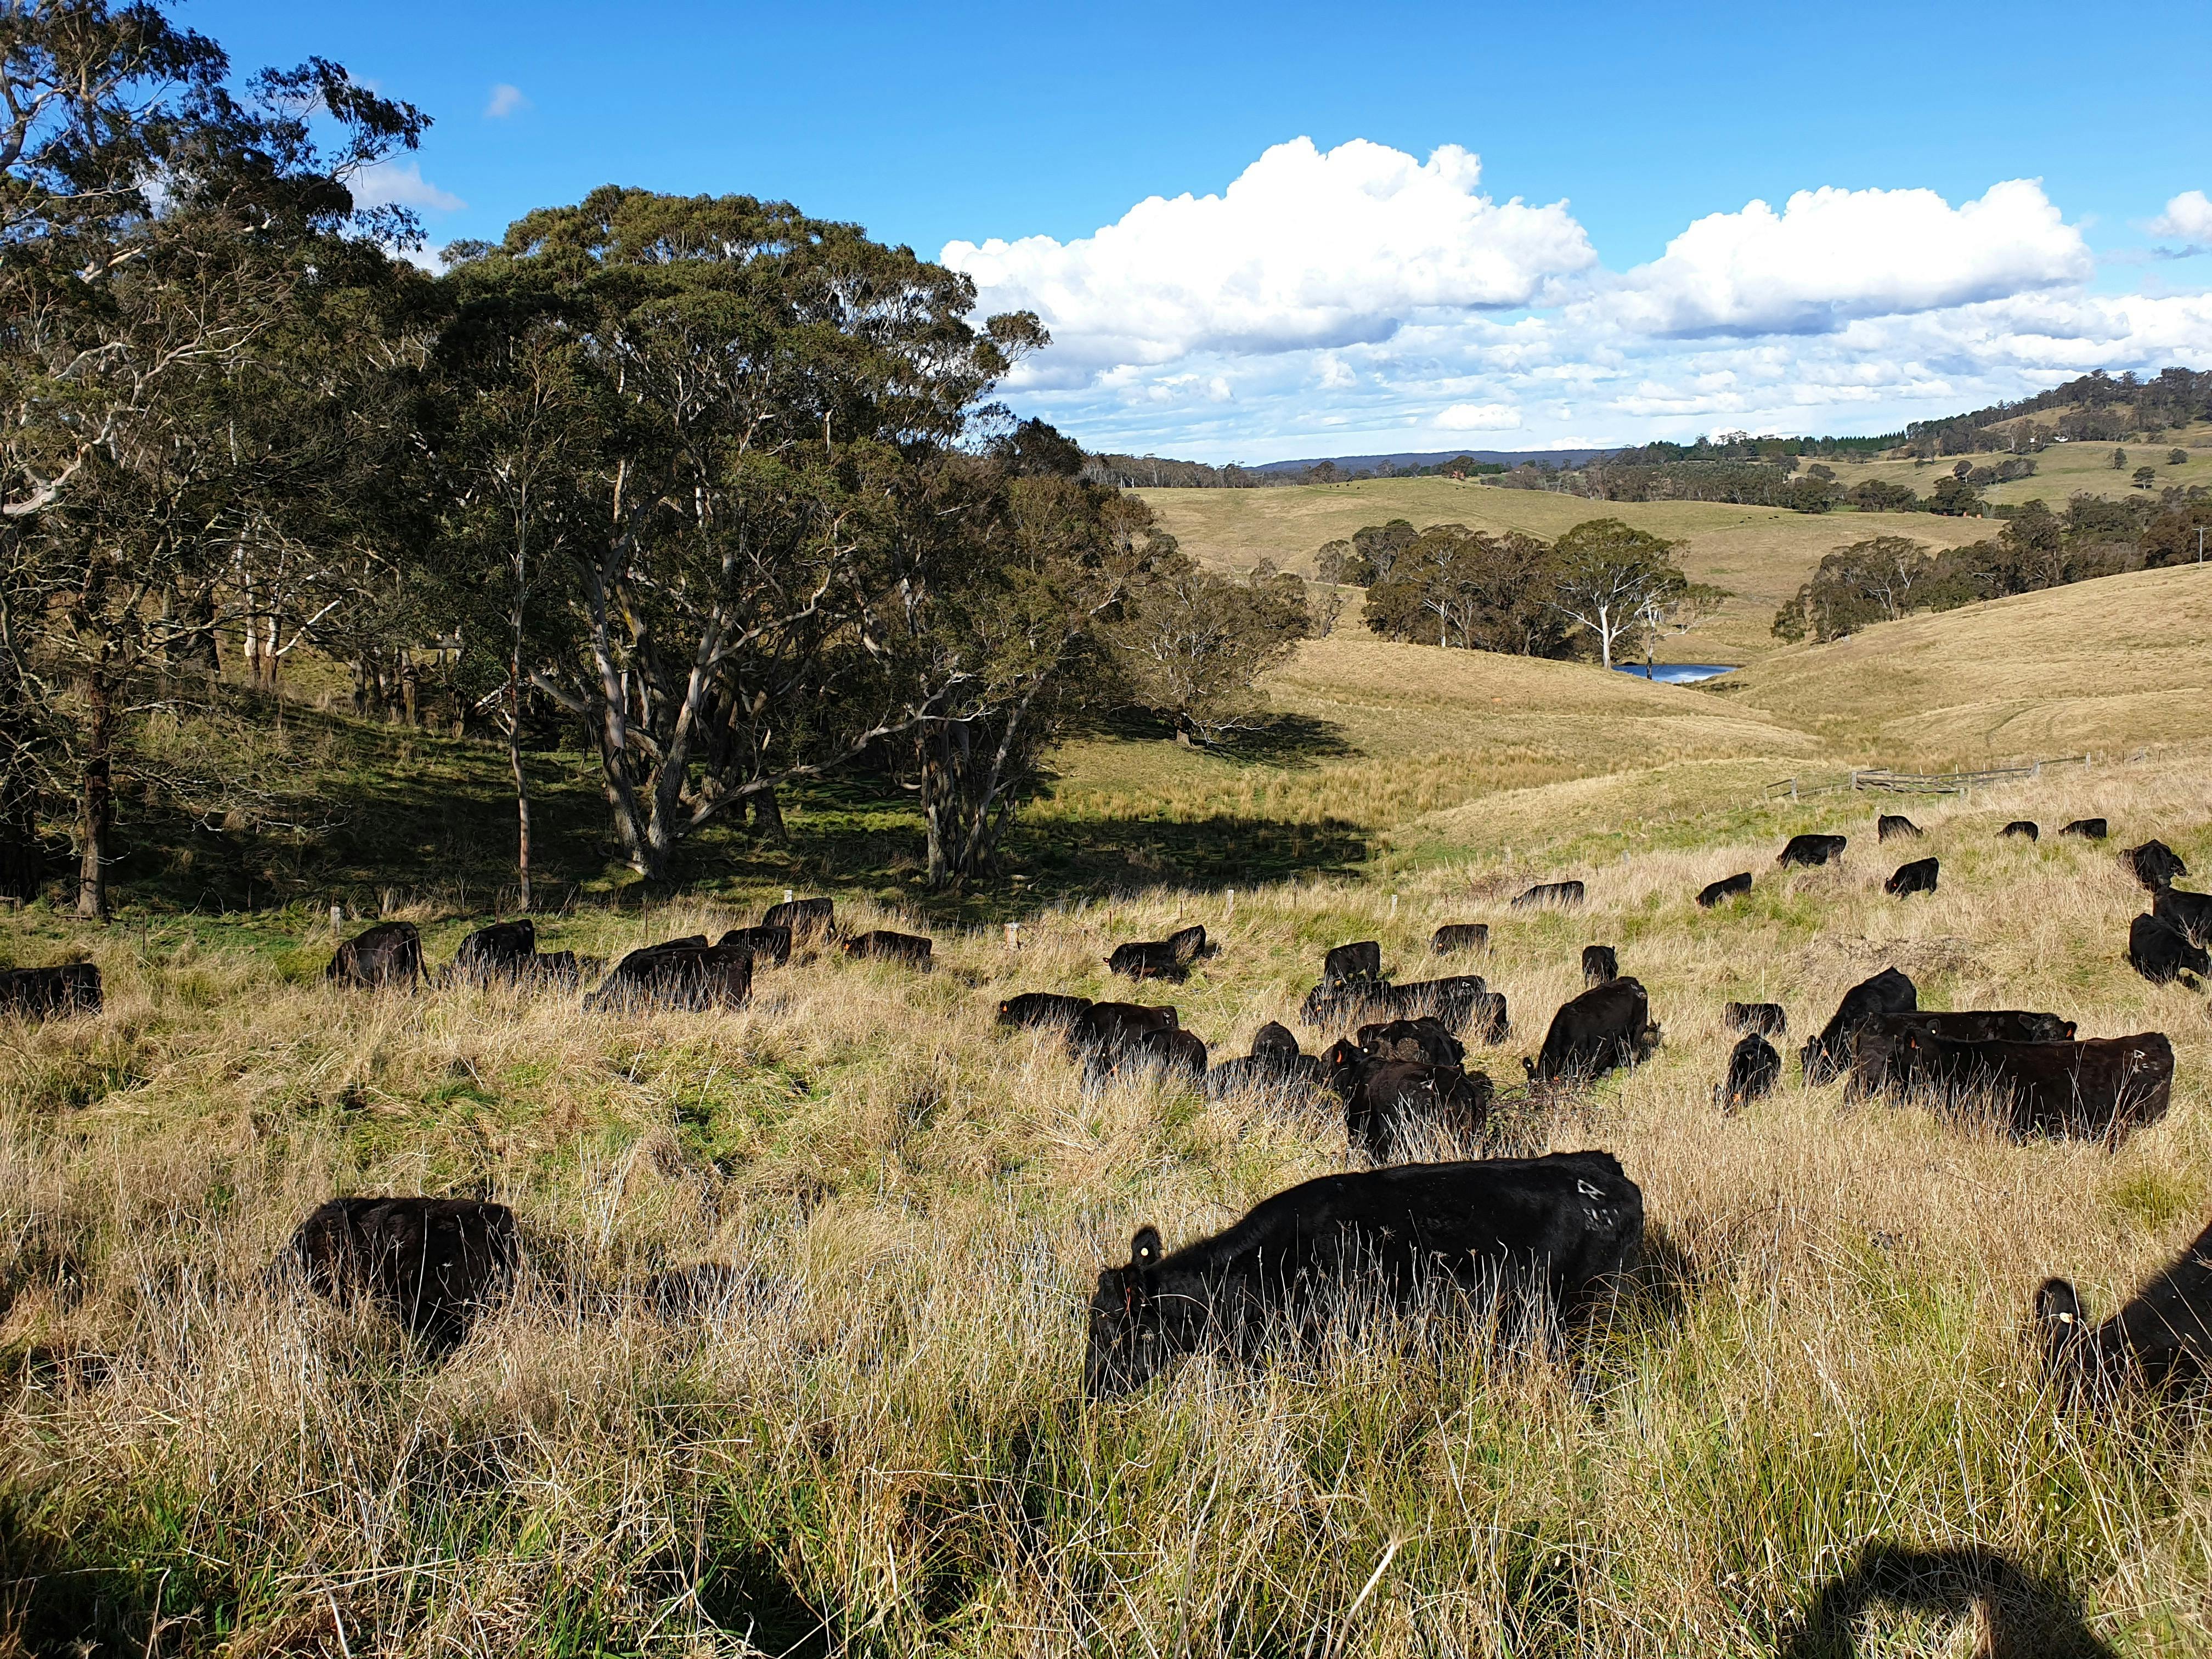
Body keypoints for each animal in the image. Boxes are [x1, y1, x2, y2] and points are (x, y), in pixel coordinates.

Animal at [1108, 924, 1213, 981]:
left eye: (1115, 967)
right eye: (1110, 967)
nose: (1114, 974)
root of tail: (1169, 944)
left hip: (1171, 966)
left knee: (1177, 977)